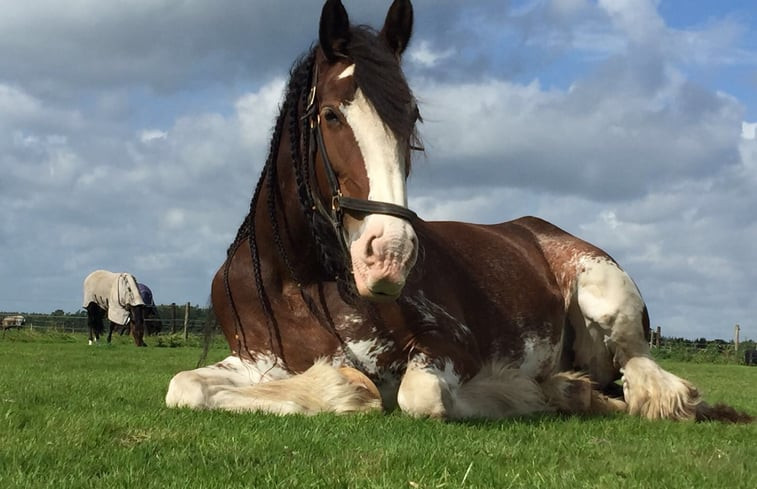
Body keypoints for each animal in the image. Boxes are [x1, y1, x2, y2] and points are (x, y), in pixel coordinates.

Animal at [165, 0, 752, 424]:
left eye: (412, 115)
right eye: (331, 115)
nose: (390, 255)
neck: (300, 283)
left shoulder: (448, 348)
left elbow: (420, 396)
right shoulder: (255, 362)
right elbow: (184, 387)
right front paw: (339, 387)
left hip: (608, 299)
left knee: (650, 383)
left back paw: (569, 391)